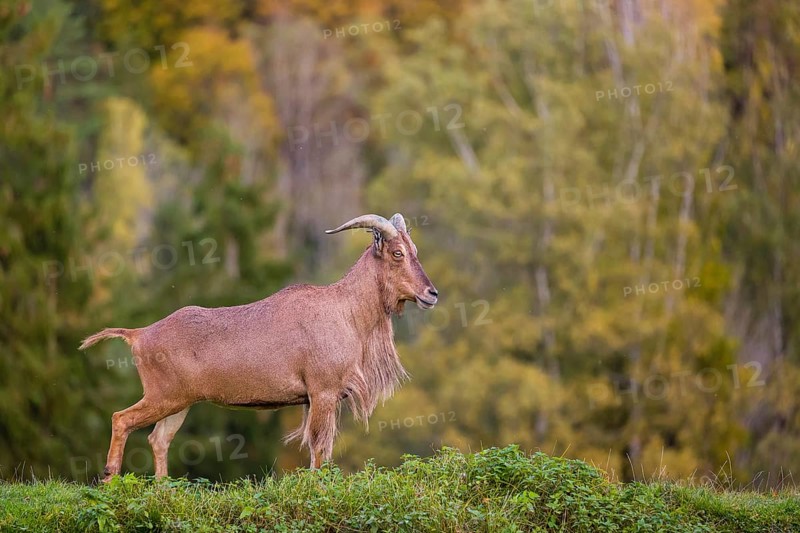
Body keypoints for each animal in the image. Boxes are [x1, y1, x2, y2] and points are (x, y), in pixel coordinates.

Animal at [80, 213, 438, 481]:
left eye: (415, 250)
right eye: (397, 253)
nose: (431, 293)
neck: (345, 311)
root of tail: (139, 334)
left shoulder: (320, 398)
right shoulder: (323, 392)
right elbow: (319, 449)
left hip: (179, 403)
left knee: (158, 439)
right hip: (162, 396)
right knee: (121, 419)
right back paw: (109, 477)